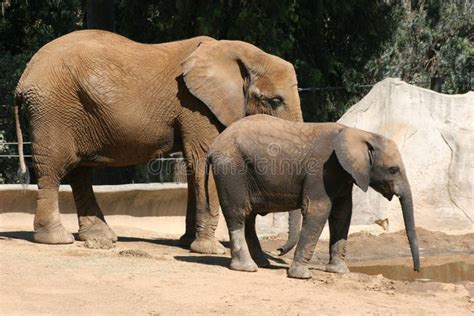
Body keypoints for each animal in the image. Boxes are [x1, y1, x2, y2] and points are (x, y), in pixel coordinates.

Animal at [15, 29, 304, 254]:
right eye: (274, 101)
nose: (278, 250)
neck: (237, 52)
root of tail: (24, 76)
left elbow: (193, 167)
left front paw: (187, 243)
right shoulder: (196, 106)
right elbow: (202, 162)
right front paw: (209, 249)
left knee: (80, 172)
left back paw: (100, 237)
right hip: (52, 109)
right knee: (54, 168)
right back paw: (56, 239)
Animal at [206, 115, 420, 278]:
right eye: (393, 170)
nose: (416, 271)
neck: (360, 133)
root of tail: (213, 146)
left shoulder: (344, 176)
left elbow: (343, 213)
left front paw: (339, 271)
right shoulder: (321, 170)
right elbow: (319, 210)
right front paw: (301, 275)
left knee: (249, 216)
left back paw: (262, 263)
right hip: (232, 169)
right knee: (239, 213)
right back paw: (247, 268)